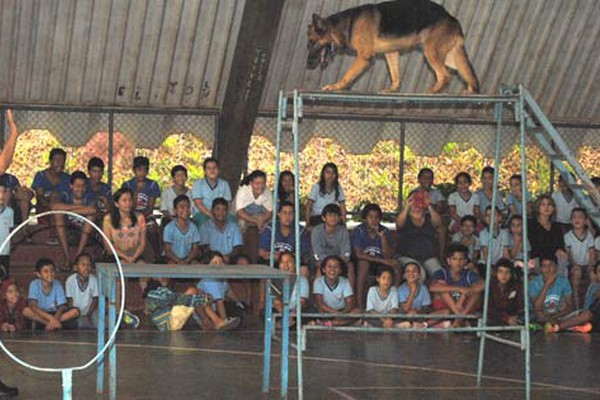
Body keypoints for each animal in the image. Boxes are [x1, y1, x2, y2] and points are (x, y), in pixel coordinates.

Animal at [308, 0, 480, 93]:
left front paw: (336, 86)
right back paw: (470, 91)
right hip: (451, 59)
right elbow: (395, 74)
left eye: (312, 42)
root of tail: (453, 20)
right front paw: (392, 89)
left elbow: (347, 75)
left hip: (431, 52)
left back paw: (433, 91)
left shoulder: (364, 57)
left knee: (445, 76)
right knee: (467, 74)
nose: (308, 64)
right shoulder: (391, 53)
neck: (346, 24)